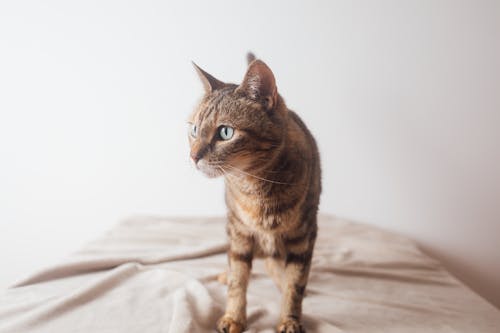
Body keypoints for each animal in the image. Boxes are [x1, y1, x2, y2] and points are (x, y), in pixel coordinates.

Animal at [188, 52, 320, 332]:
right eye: (193, 130)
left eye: (225, 132)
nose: (193, 156)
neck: (255, 188)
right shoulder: (239, 233)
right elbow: (238, 280)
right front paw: (233, 317)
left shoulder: (303, 236)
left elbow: (295, 285)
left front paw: (290, 320)